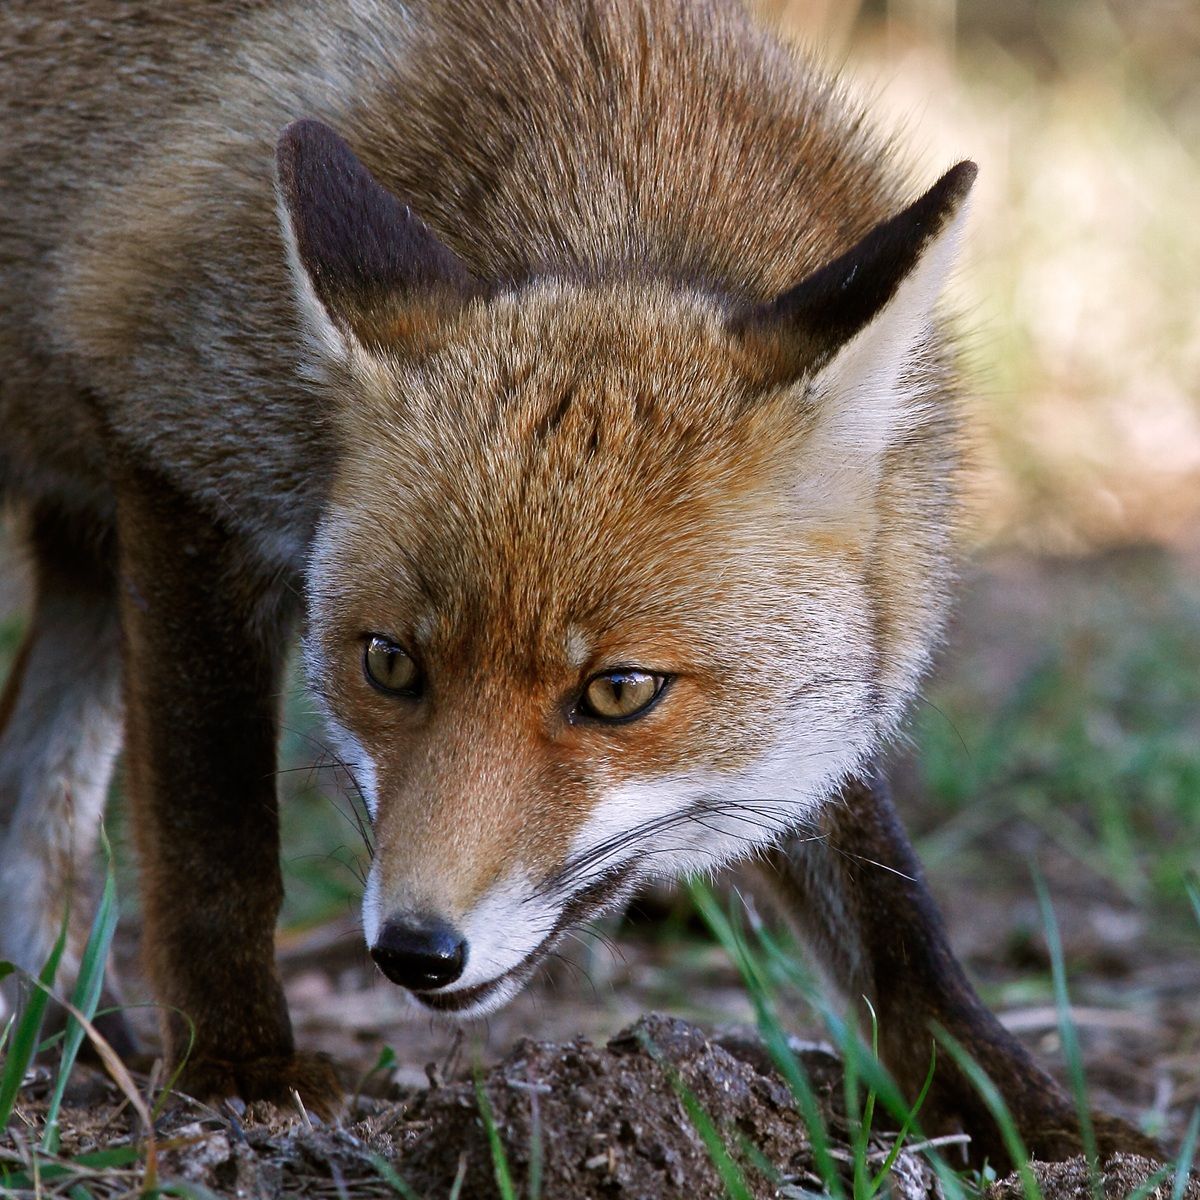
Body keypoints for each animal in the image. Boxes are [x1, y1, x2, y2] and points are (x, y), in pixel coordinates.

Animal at [0, 0, 1157, 1169]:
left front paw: (1029, 1117)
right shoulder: (177, 446)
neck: (615, 158)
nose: (416, 951)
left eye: (620, 692)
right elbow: (217, 844)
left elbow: (891, 915)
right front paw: (238, 1066)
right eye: (390, 663)